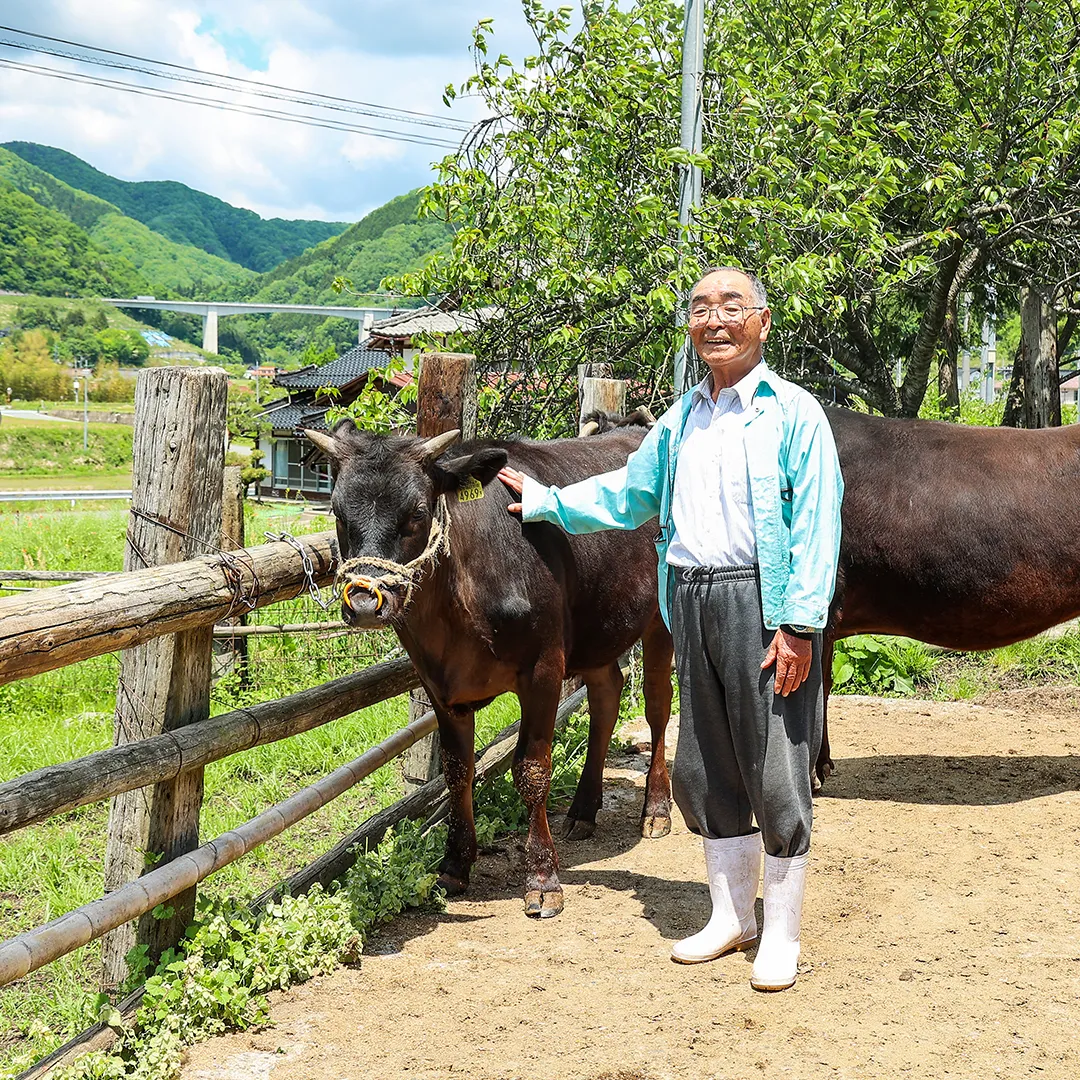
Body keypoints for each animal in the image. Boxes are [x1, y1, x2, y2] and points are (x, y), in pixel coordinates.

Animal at [306, 421, 673, 920]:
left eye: (417, 513)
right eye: (339, 513)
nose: (364, 602)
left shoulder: (544, 669)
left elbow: (531, 770)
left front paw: (543, 879)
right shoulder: (438, 685)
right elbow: (458, 771)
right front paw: (455, 865)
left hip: (660, 619)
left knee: (657, 706)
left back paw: (655, 810)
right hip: (597, 632)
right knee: (606, 698)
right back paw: (583, 810)